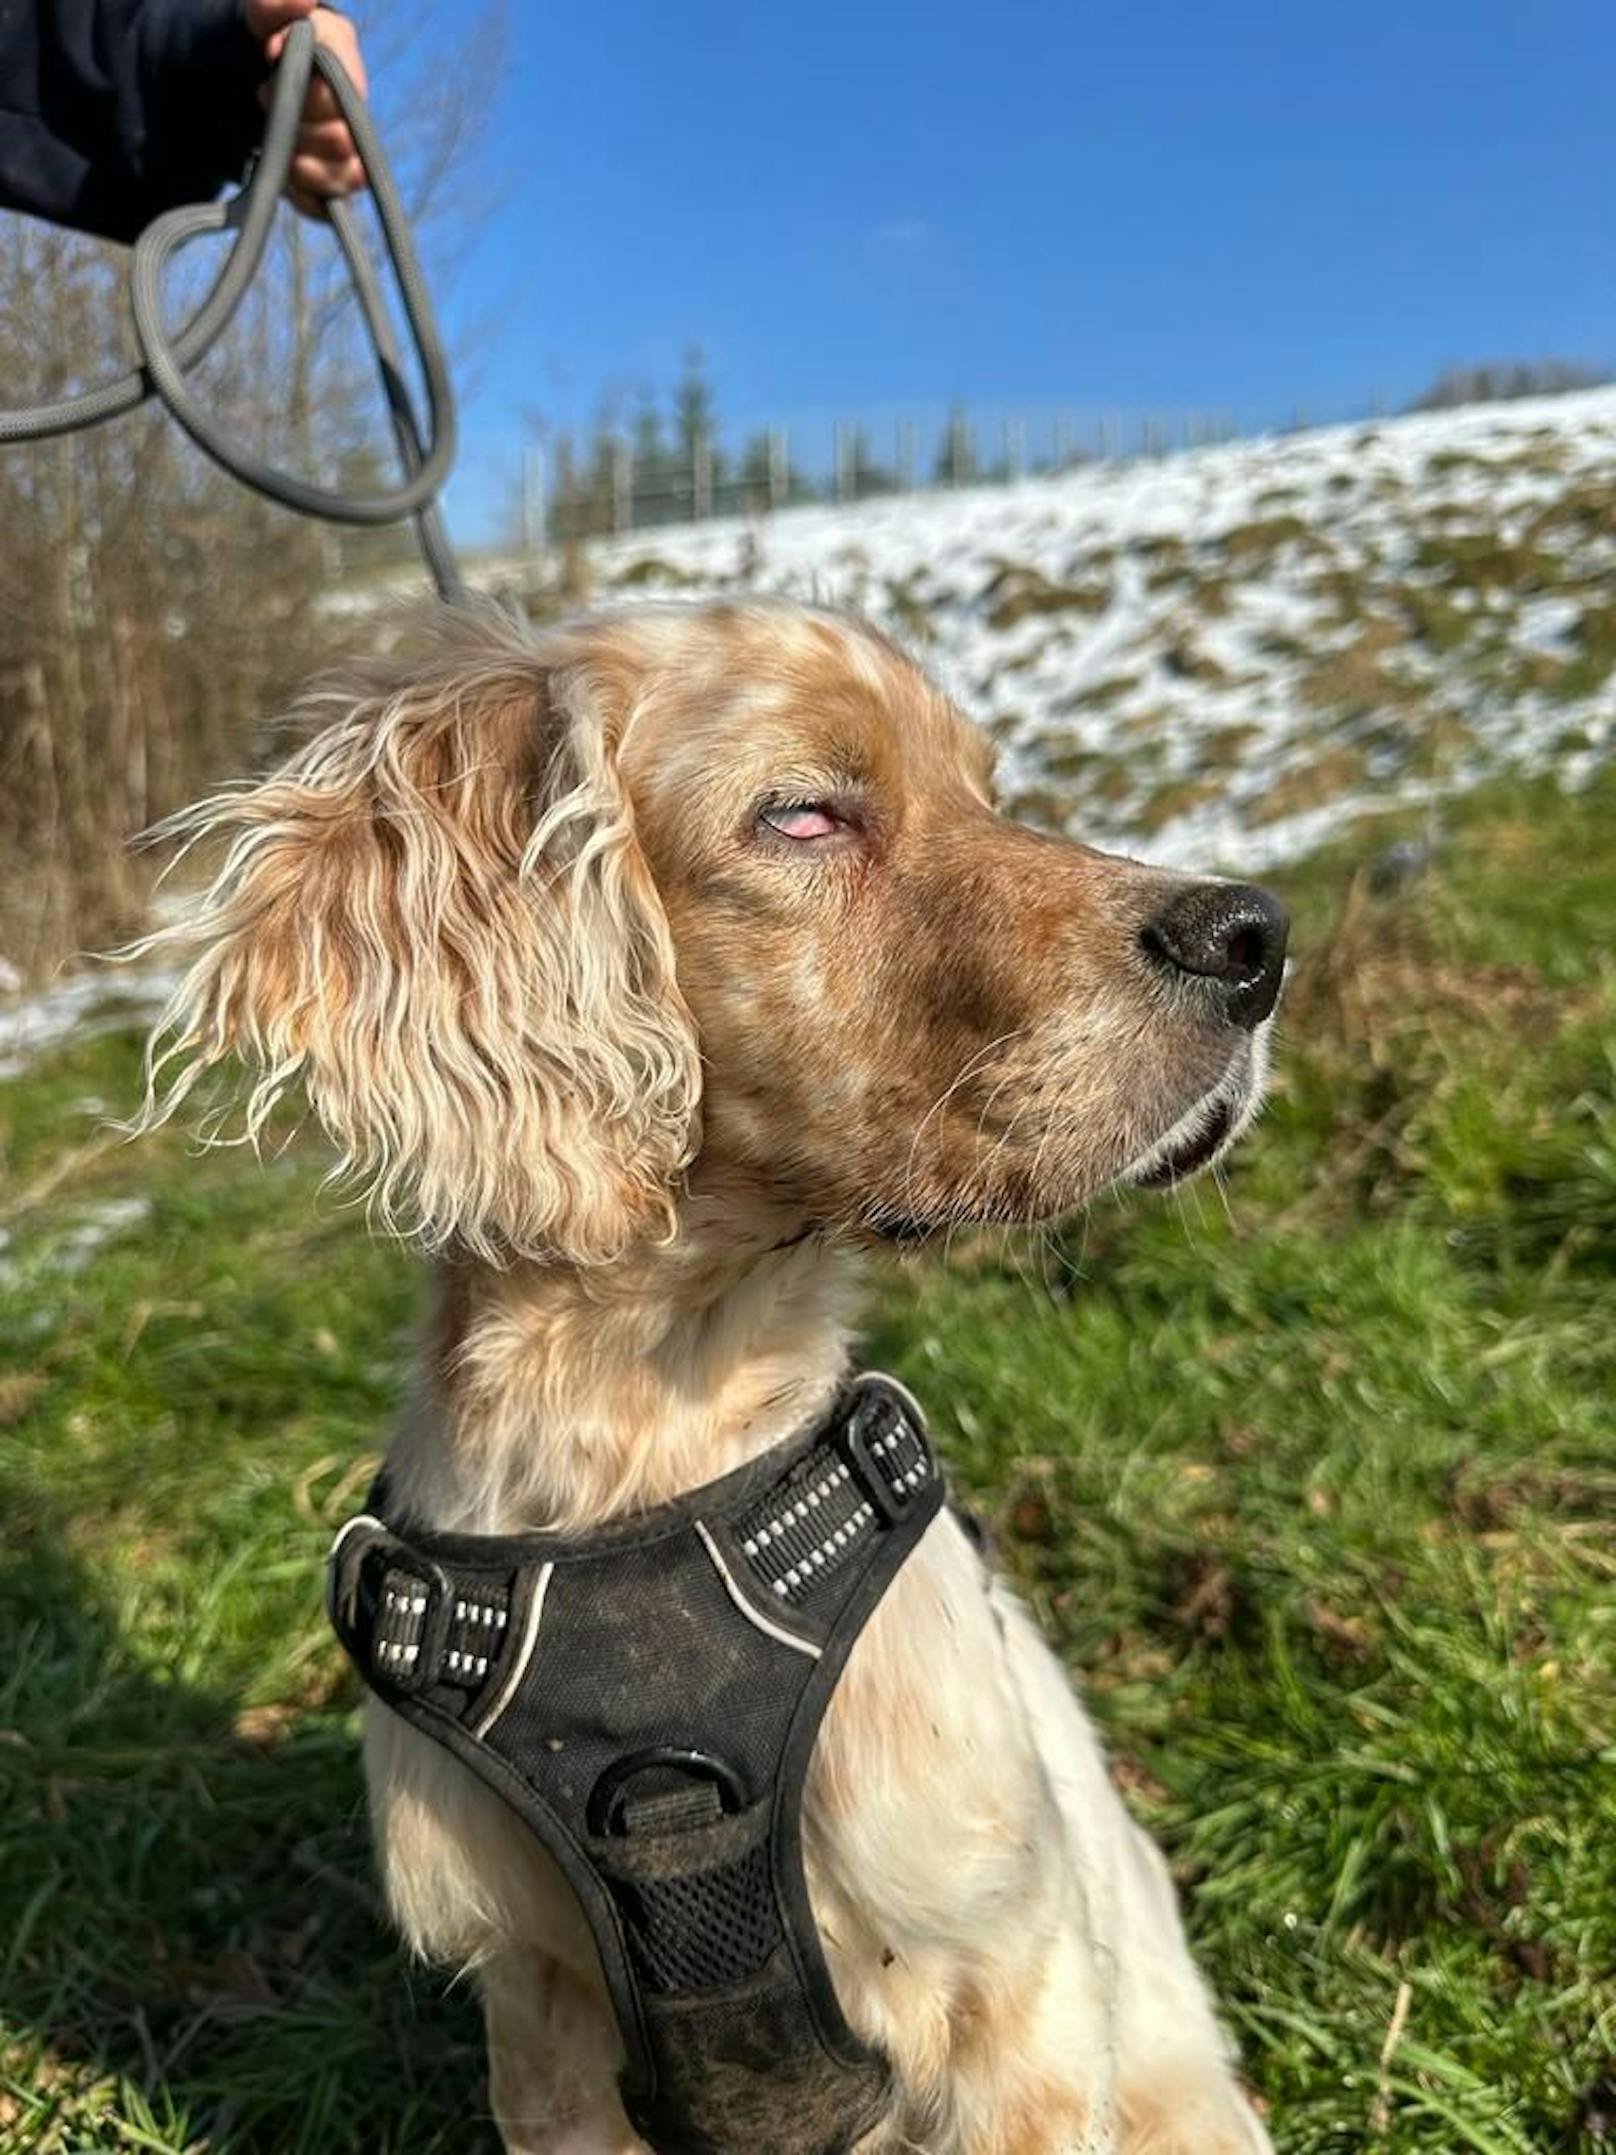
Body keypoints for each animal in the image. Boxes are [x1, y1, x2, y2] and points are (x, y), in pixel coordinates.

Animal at [148, 603, 1292, 2155]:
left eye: (988, 794)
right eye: (802, 812)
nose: (1256, 937)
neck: (644, 1433)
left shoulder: (1015, 1986)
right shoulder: (542, 2022)